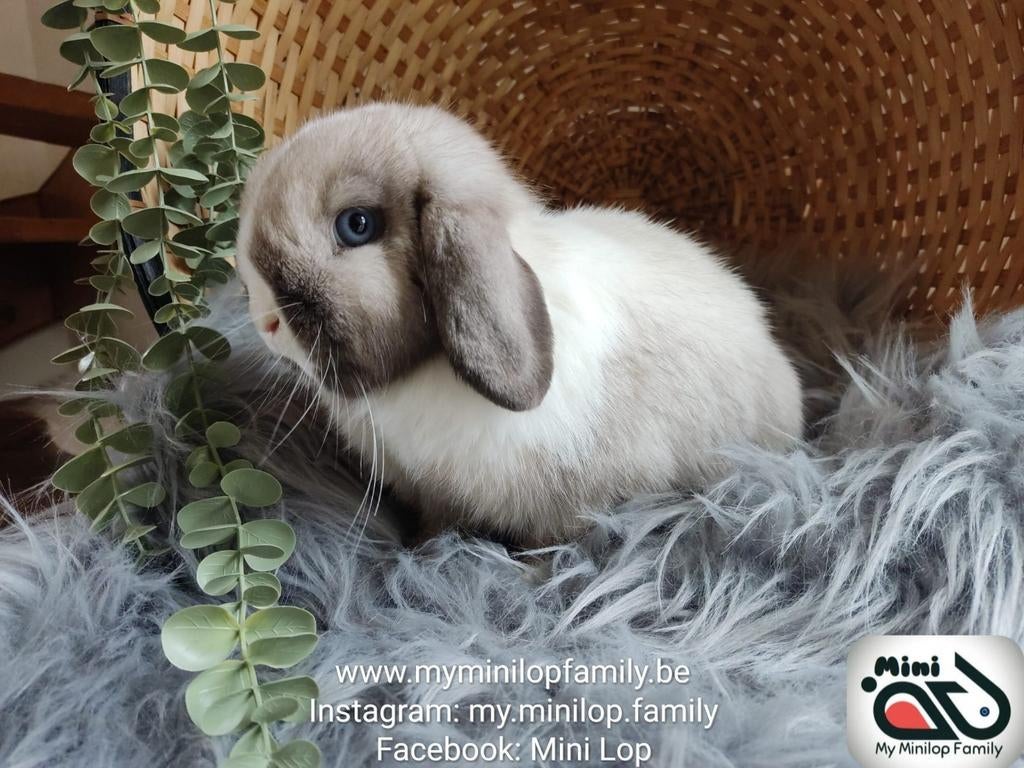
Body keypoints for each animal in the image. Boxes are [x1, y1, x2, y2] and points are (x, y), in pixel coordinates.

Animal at [235, 103, 803, 546]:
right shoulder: (437, 494)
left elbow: (552, 543)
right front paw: (422, 550)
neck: (423, 376)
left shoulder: (574, 503)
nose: (264, 322)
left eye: (356, 225)